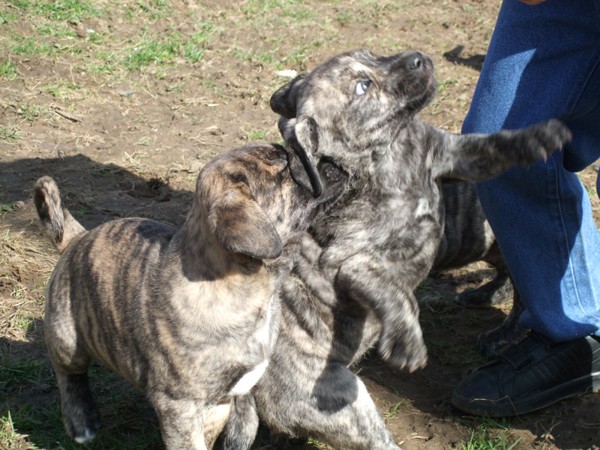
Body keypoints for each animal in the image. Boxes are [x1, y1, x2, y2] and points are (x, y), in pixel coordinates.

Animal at [217, 47, 572, 448]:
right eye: (362, 86)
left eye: (371, 55)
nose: (418, 57)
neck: (390, 152)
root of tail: (246, 391)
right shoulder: (352, 263)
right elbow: (394, 293)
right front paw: (406, 341)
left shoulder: (452, 153)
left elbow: (493, 145)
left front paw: (538, 137)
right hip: (347, 406)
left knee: (514, 274)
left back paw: (491, 308)